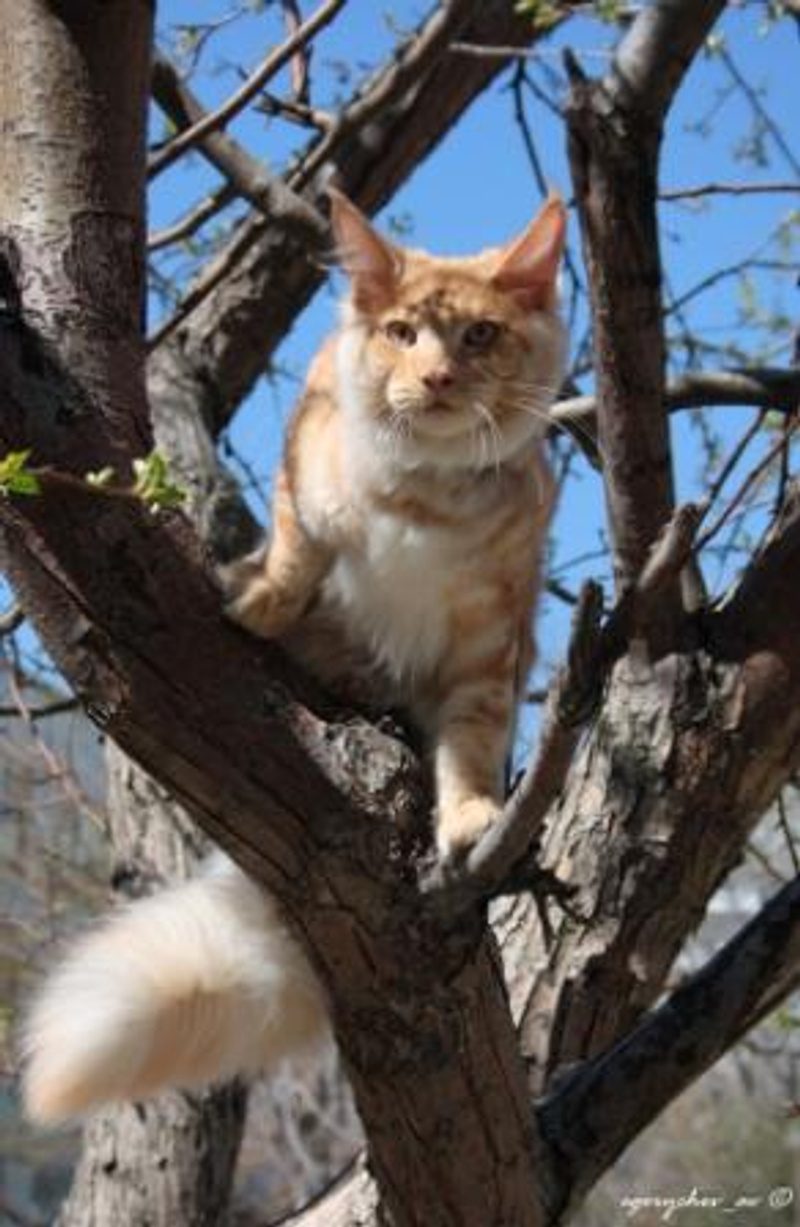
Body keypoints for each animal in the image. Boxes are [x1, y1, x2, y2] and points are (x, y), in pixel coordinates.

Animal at [21, 190, 567, 1123]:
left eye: (480, 337)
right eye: (401, 332)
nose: (437, 379)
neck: (426, 502)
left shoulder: (489, 646)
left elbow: (470, 750)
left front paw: (469, 819)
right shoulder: (305, 456)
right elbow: (298, 544)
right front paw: (263, 600)